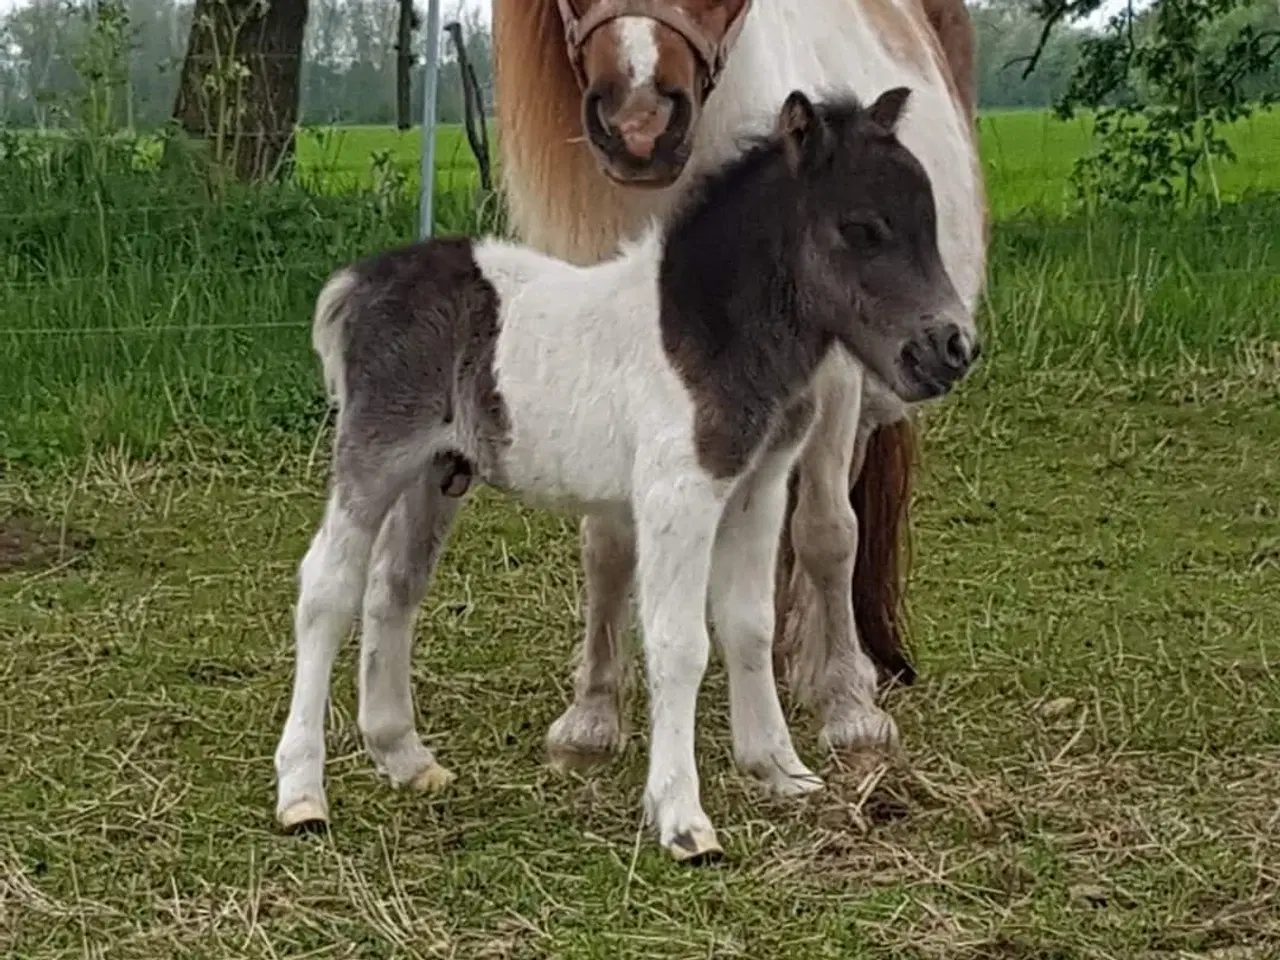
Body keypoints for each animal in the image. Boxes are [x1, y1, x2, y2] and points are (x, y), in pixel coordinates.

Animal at [494, 1, 983, 757]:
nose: (639, 121)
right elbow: (607, 540)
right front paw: (593, 715)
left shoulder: (830, 376)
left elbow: (826, 532)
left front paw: (849, 709)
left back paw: (820, 665)